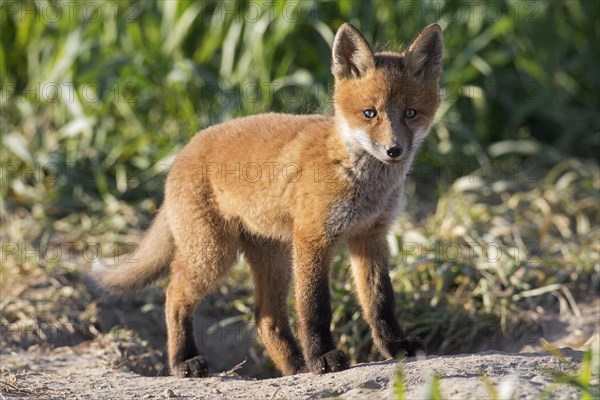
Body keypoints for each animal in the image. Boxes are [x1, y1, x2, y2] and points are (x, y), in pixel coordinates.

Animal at [94, 22, 440, 378]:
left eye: (411, 113)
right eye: (370, 113)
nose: (394, 150)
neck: (357, 177)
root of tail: (185, 148)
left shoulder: (370, 236)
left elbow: (381, 302)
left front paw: (395, 346)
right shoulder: (312, 237)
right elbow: (314, 307)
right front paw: (323, 357)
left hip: (272, 258)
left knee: (264, 318)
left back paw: (295, 367)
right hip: (214, 255)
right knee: (173, 294)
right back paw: (183, 361)